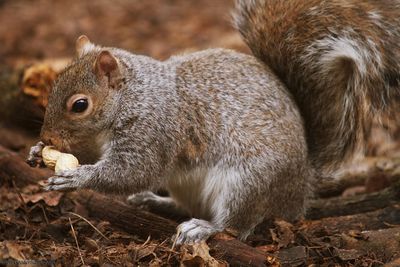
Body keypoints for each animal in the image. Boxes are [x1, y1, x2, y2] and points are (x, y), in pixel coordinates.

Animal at [26, 1, 398, 245]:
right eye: (53, 85)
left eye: (80, 105)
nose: (48, 136)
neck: (135, 96)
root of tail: (301, 186)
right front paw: (36, 152)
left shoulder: (154, 131)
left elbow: (133, 172)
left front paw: (76, 177)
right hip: (190, 185)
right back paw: (156, 202)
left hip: (249, 183)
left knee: (239, 226)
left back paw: (205, 228)